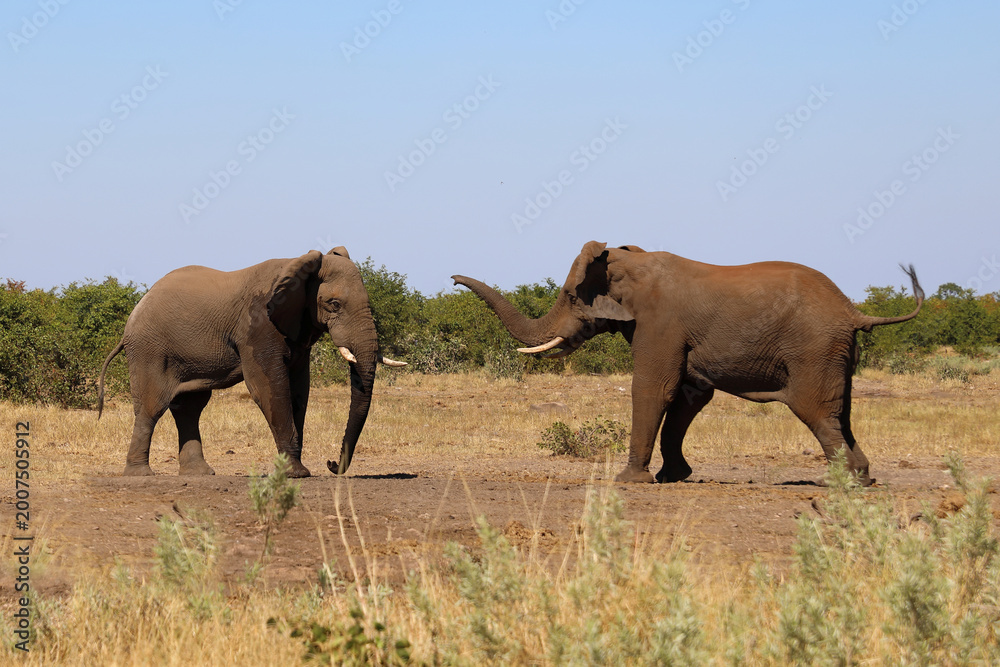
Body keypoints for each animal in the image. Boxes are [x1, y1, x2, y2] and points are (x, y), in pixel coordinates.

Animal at [98, 247, 405, 478]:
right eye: (334, 304)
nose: (330, 464)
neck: (297, 262)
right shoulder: (258, 326)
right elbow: (268, 387)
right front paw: (296, 474)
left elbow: (299, 390)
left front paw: (295, 470)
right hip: (149, 350)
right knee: (152, 407)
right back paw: (140, 475)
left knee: (190, 408)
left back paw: (200, 474)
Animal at [453, 241, 924, 486]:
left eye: (570, 296)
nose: (452, 278)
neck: (631, 259)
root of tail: (853, 311)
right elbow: (689, 397)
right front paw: (673, 477)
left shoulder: (660, 322)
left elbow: (654, 387)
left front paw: (630, 481)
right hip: (836, 353)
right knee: (842, 413)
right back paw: (863, 478)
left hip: (813, 350)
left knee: (816, 410)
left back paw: (842, 482)